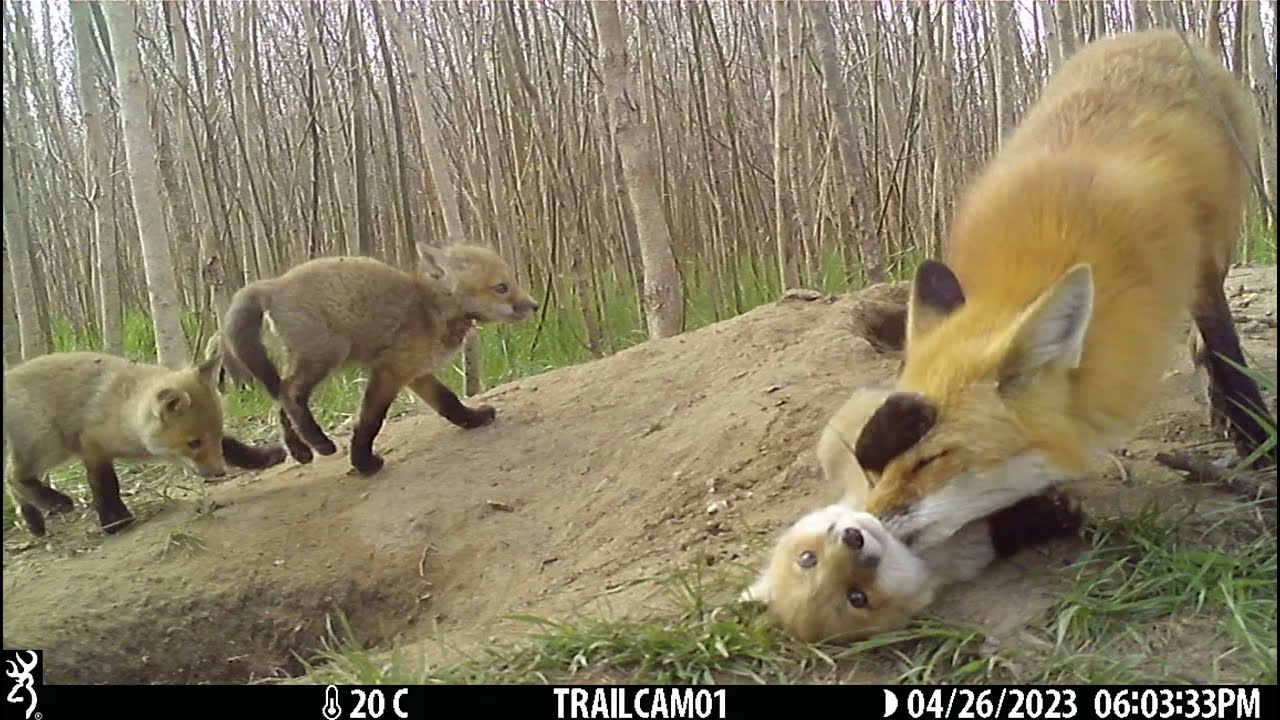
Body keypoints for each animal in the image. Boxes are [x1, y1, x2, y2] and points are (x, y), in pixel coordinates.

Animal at [3, 351, 287, 537]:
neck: (125, 413)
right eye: (193, 443)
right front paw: (114, 522)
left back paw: (34, 522)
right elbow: (105, 485)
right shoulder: (92, 446)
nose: (219, 473)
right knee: (13, 476)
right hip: (49, 442)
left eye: (214, 438)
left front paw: (266, 456)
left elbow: (234, 447)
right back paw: (53, 502)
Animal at [220, 244, 538, 476]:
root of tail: (273, 284)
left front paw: (473, 419)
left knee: (281, 399)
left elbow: (449, 403)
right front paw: (363, 463)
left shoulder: (417, 374)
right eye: (502, 287)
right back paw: (321, 443)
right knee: (289, 393)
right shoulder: (390, 371)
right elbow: (370, 421)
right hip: (329, 353)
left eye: (512, 282)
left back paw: (300, 450)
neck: (432, 311)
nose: (534, 305)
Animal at [740, 385, 1084, 643]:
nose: (853, 538)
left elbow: (869, 453)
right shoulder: (975, 552)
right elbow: (1010, 531)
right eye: (856, 597)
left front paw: (904, 417)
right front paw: (1055, 514)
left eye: (807, 558)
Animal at [844, 29, 1277, 555]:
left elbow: (1228, 355)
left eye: (932, 460)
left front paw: (1257, 441)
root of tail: (1153, 34)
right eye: (874, 469)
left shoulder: (1198, 269)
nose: (856, 531)